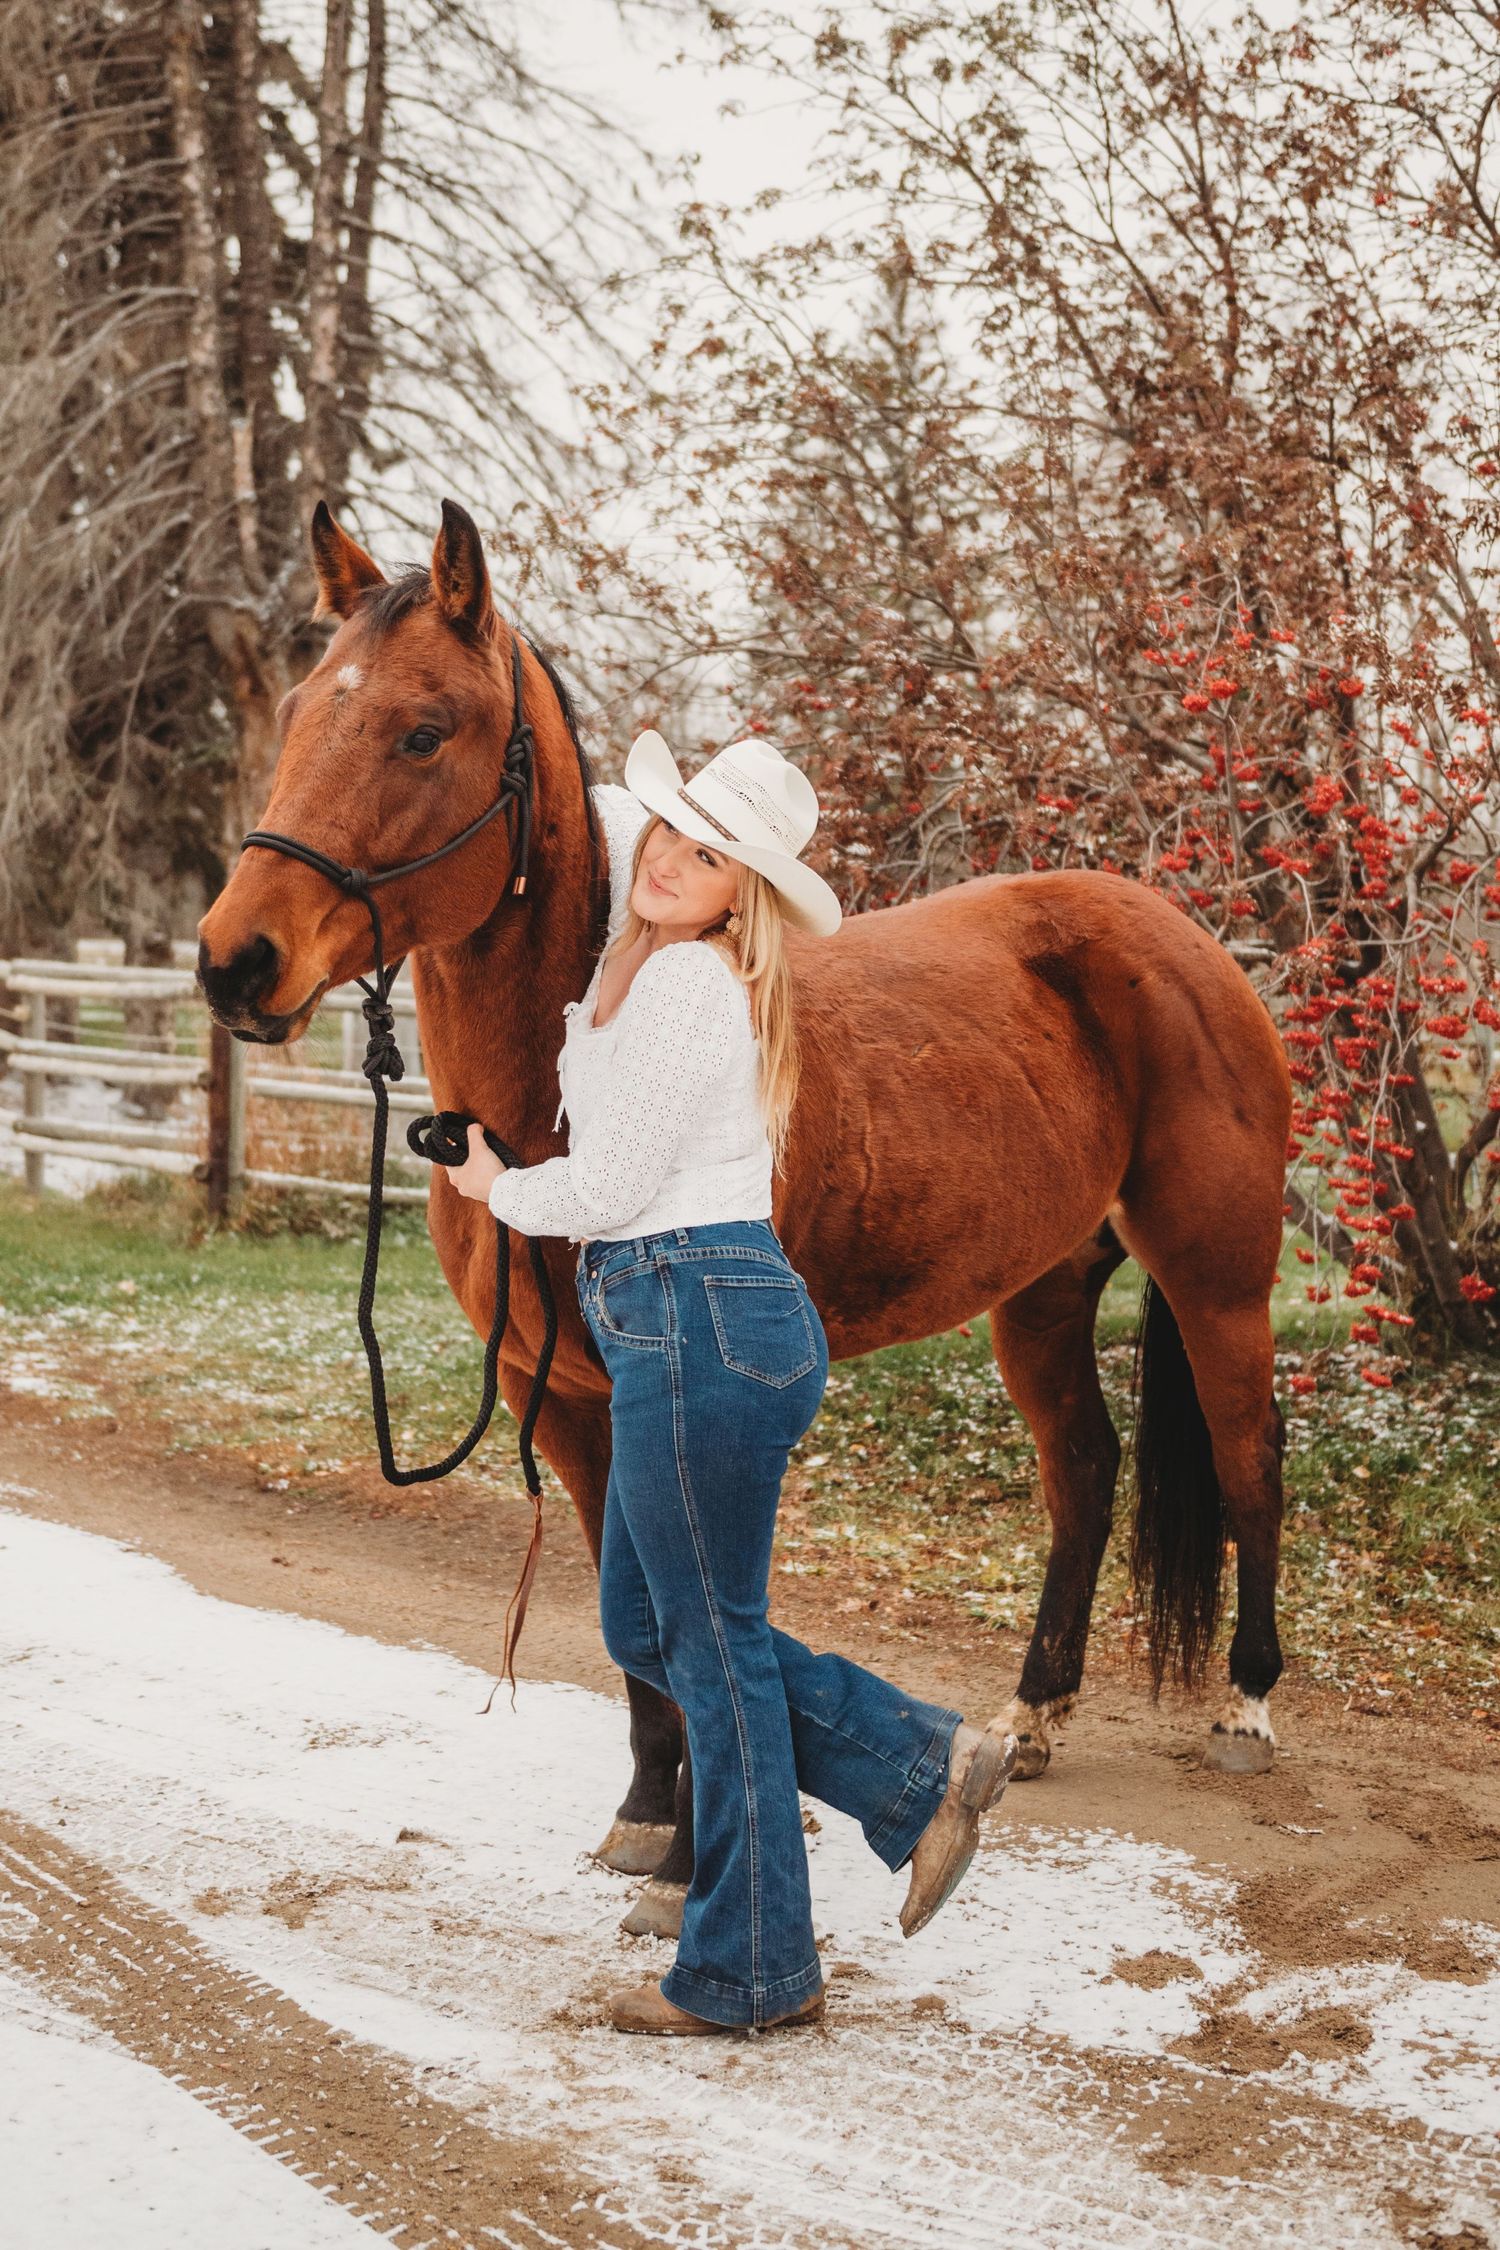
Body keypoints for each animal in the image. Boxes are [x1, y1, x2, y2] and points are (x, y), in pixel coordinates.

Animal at [198, 498, 1292, 1942]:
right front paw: (647, 1816)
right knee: (1086, 1473)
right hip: (1046, 1289)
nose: (235, 961)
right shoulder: (563, 1399)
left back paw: (1249, 1705)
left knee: (1248, 1459)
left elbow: (693, 1617)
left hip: (1218, 1279)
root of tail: (1177, 931)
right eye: (300, 712)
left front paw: (693, 1852)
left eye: (423, 730)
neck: (565, 1093)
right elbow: (636, 1624)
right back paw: (1031, 1717)